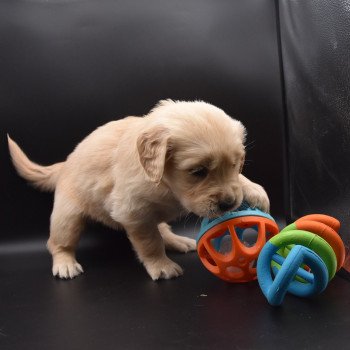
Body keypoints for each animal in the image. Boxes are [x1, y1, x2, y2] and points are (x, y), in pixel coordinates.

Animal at [8, 100, 270, 280]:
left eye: (236, 164)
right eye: (198, 171)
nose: (228, 203)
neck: (166, 184)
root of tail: (64, 164)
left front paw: (255, 190)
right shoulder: (134, 213)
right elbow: (150, 242)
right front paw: (162, 266)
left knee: (163, 229)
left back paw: (178, 240)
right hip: (67, 216)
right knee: (58, 242)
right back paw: (65, 264)